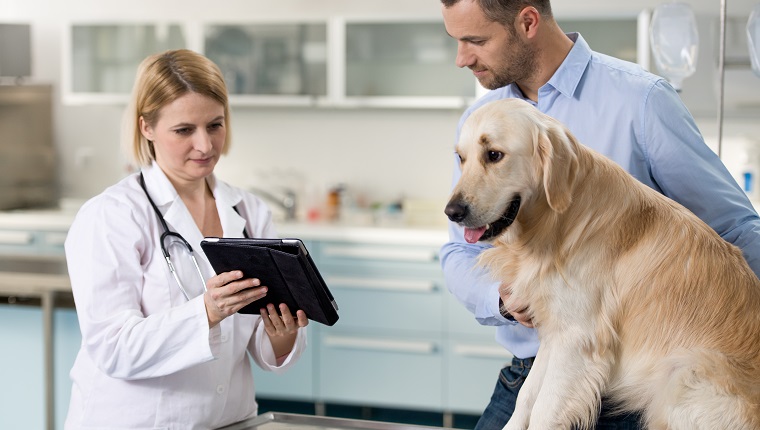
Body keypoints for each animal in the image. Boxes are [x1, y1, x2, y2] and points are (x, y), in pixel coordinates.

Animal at [442, 99, 760, 428]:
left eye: (494, 155)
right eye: (461, 158)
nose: (451, 212)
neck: (557, 222)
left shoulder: (577, 339)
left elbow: (544, 410)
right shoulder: (556, 333)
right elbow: (526, 396)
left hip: (683, 375)